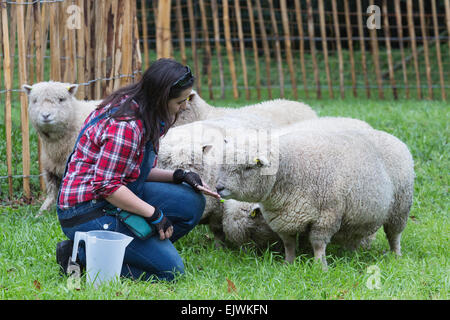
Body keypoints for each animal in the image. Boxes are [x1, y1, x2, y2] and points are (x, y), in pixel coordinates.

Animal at [23, 81, 100, 216]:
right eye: (35, 100)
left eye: (61, 99)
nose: (46, 115)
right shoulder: (51, 169)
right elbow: (52, 194)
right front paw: (40, 213)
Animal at [215, 126, 414, 268]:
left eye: (248, 167)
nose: (218, 187)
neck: (289, 170)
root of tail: (393, 138)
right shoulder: (282, 218)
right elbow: (288, 243)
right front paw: (289, 264)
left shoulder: (326, 216)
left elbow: (318, 243)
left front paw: (320, 267)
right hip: (359, 214)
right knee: (356, 235)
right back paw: (353, 255)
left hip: (400, 207)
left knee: (394, 234)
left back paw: (396, 255)